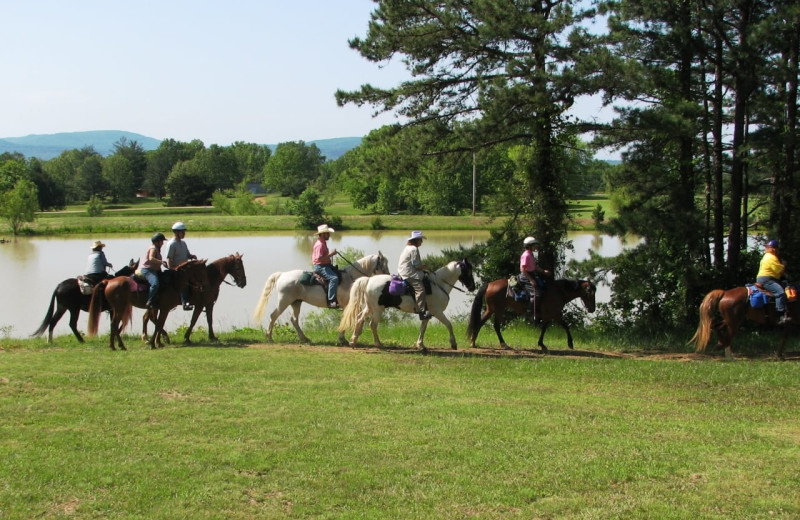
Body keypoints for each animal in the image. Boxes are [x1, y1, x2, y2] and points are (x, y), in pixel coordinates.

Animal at [250, 253, 388, 346]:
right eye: (384, 264)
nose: (388, 276)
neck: (351, 278)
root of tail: (282, 275)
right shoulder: (347, 305)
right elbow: (347, 319)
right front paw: (343, 339)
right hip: (284, 301)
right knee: (274, 316)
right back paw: (269, 337)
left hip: (296, 302)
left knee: (294, 319)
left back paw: (304, 339)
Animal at [338, 258, 476, 352]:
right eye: (468, 271)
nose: (473, 287)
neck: (438, 284)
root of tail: (369, 280)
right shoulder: (437, 312)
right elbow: (449, 324)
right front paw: (453, 343)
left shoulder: (427, 313)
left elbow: (423, 328)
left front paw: (420, 345)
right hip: (378, 309)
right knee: (373, 324)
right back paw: (378, 344)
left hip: (369, 307)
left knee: (359, 318)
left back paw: (353, 341)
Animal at [462, 276, 592, 354]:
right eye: (590, 292)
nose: (592, 308)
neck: (558, 292)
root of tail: (489, 284)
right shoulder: (555, 313)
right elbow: (565, 325)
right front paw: (570, 343)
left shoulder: (549, 315)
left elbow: (545, 328)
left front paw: (541, 344)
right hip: (497, 309)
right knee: (493, 325)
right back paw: (502, 344)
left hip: (493, 309)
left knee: (484, 323)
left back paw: (474, 342)